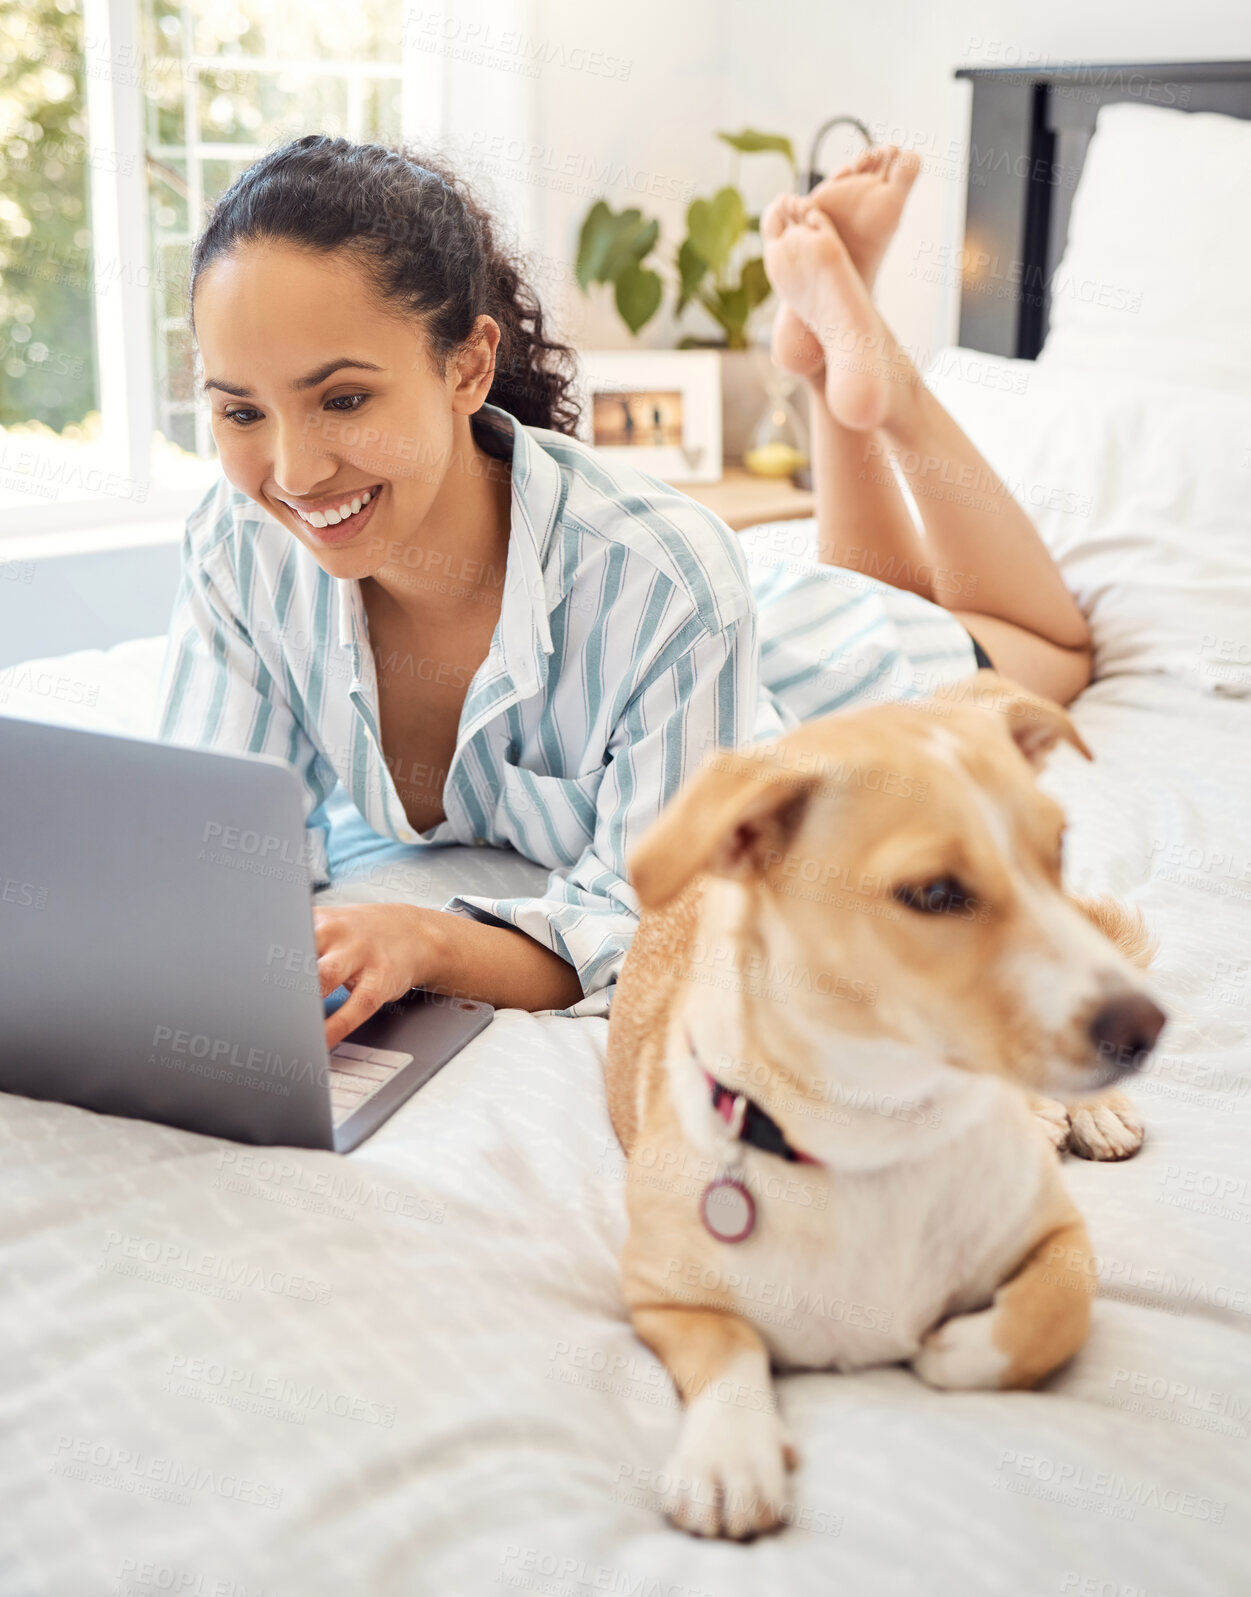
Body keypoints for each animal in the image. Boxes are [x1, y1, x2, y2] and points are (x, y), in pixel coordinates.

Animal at [603, 670, 1163, 1533]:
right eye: (933, 893)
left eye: (1056, 852)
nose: (1144, 1027)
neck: (878, 1130)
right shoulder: (658, 1294)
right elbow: (729, 1350)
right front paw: (728, 1451)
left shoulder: (1061, 1236)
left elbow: (1050, 1308)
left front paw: (958, 1350)